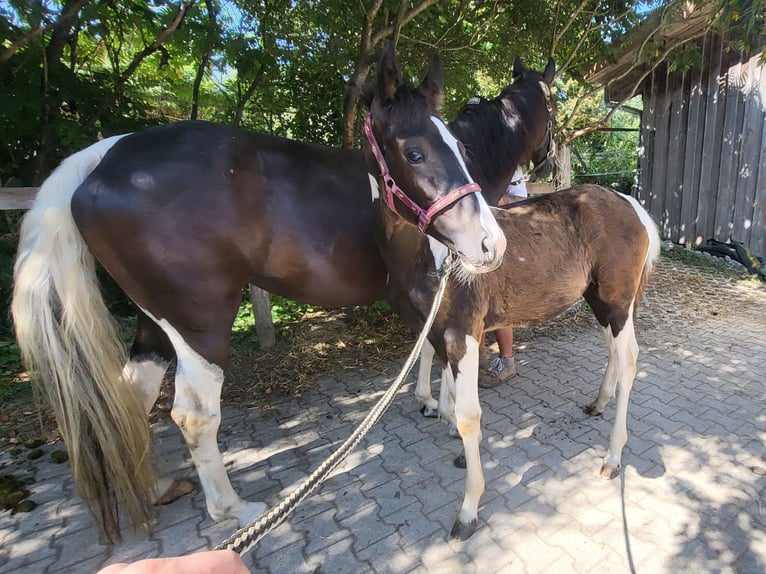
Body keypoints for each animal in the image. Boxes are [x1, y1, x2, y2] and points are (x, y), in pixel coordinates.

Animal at [12, 46, 510, 544]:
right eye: (414, 152)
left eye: (460, 149)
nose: (491, 243)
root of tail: (106, 156)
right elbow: (438, 355)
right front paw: (442, 410)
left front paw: (437, 407)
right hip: (200, 327)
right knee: (194, 415)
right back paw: (234, 508)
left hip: (154, 321)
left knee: (132, 398)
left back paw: (157, 486)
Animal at [368, 65, 664, 544]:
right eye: (413, 152)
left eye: (461, 147)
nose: (487, 246)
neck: (430, 254)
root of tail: (630, 203)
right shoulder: (437, 332)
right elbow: (452, 396)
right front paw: (454, 442)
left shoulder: (462, 333)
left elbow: (468, 414)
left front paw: (468, 508)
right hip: (601, 299)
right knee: (613, 352)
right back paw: (598, 403)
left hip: (617, 300)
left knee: (630, 358)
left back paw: (612, 458)